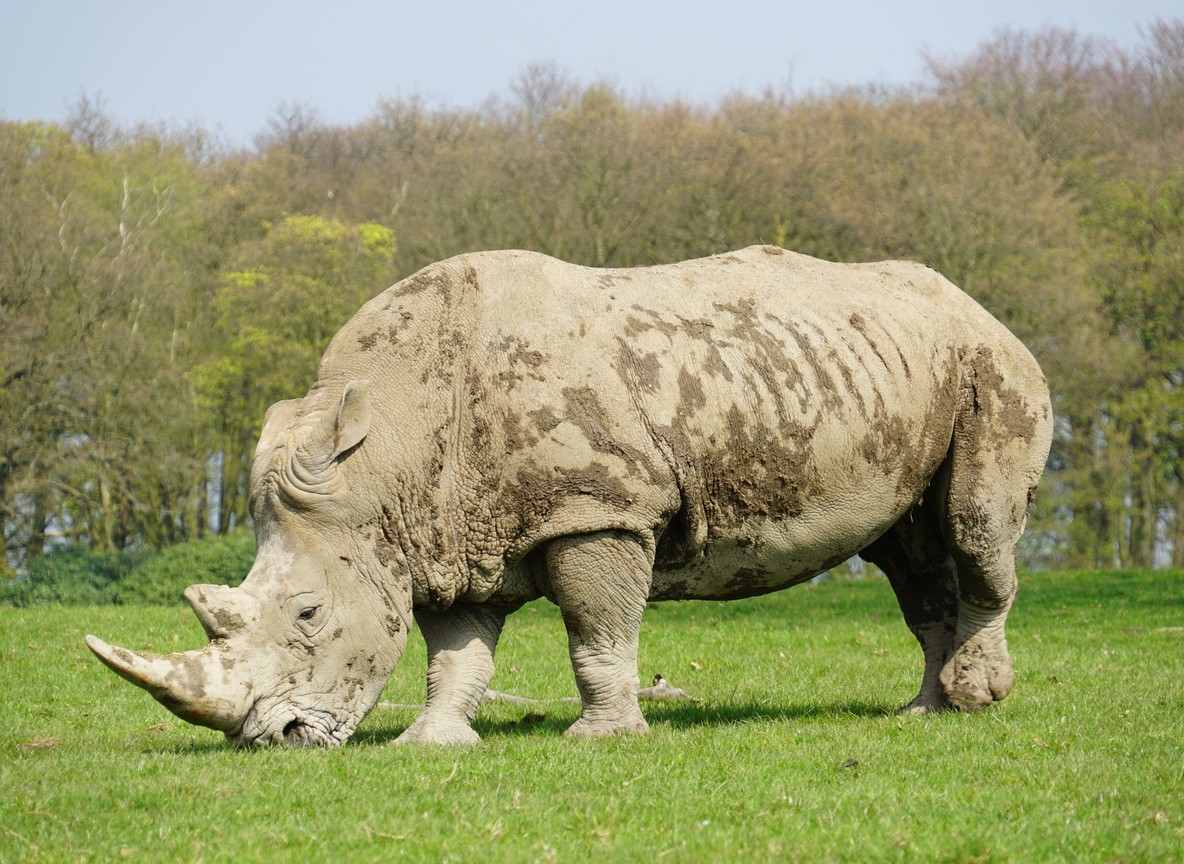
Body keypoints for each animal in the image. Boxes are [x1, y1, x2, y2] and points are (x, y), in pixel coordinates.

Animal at [87, 246, 1053, 746]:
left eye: (310, 616)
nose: (269, 739)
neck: (389, 452)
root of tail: (979, 305)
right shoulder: (449, 531)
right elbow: (455, 653)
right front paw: (431, 743)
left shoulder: (598, 510)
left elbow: (597, 632)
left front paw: (603, 739)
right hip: (893, 369)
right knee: (907, 553)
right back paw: (920, 715)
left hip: (991, 366)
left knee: (973, 527)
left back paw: (973, 701)